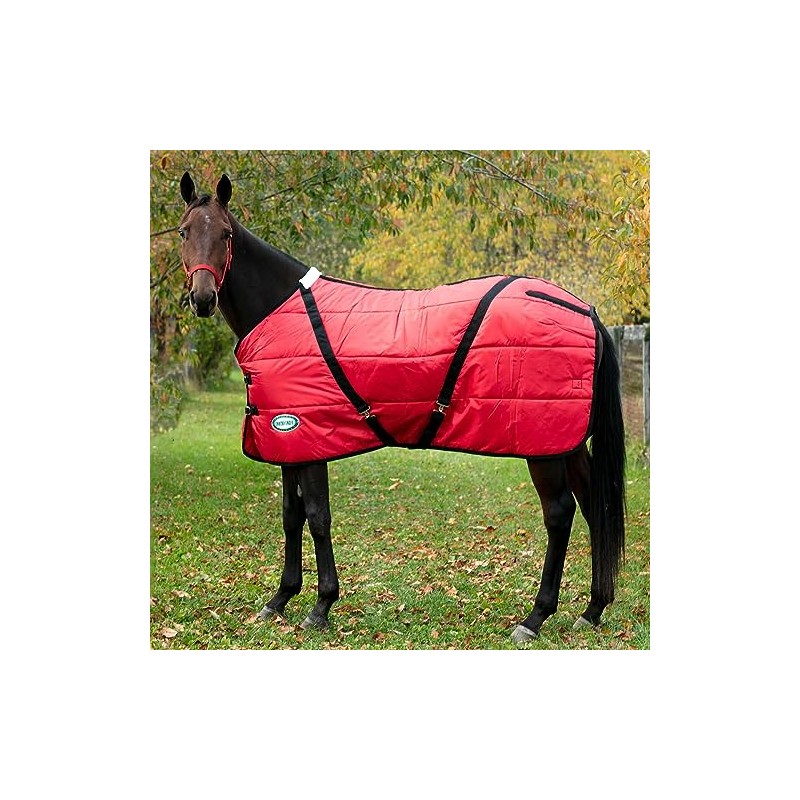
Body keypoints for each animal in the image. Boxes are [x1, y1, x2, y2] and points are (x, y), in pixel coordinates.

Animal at [176, 171, 626, 643]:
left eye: (225, 234)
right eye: (184, 232)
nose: (203, 299)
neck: (280, 309)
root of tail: (587, 312)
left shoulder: (310, 438)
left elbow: (317, 517)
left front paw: (321, 606)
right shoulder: (291, 444)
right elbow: (290, 516)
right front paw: (280, 598)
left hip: (544, 447)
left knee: (560, 514)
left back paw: (535, 617)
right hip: (566, 442)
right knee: (594, 505)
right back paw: (593, 609)